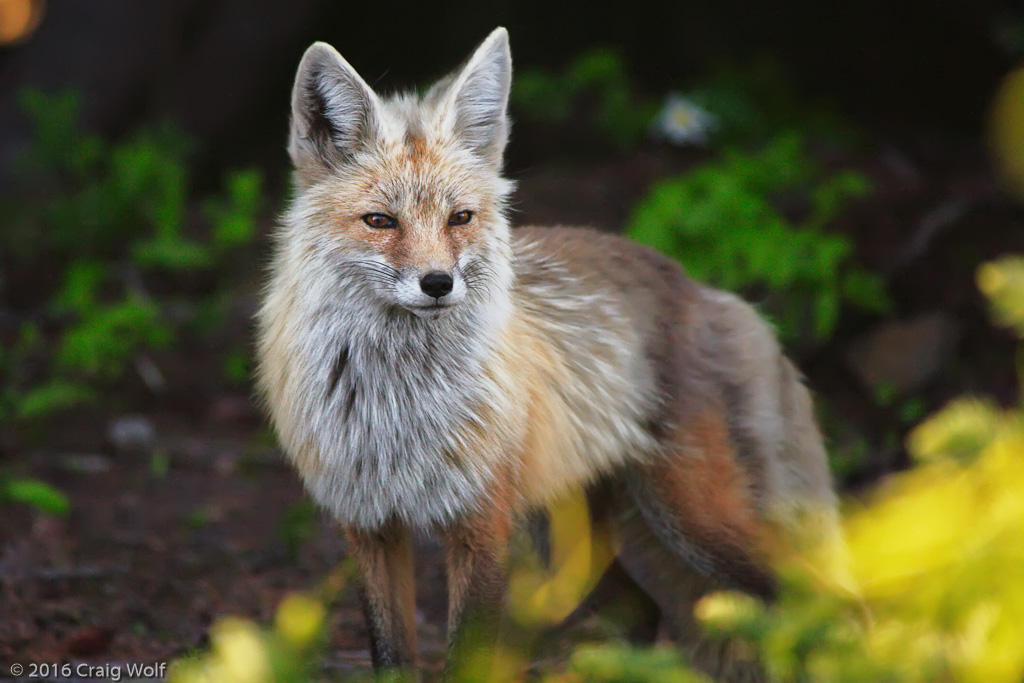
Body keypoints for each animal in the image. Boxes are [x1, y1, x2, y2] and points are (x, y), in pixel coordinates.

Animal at [256, 28, 839, 683]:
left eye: (460, 218)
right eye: (380, 221)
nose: (438, 284)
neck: (397, 404)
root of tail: (700, 287)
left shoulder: (481, 524)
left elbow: (466, 656)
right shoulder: (370, 527)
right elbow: (391, 656)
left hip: (693, 514)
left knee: (823, 597)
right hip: (562, 528)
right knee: (641, 610)